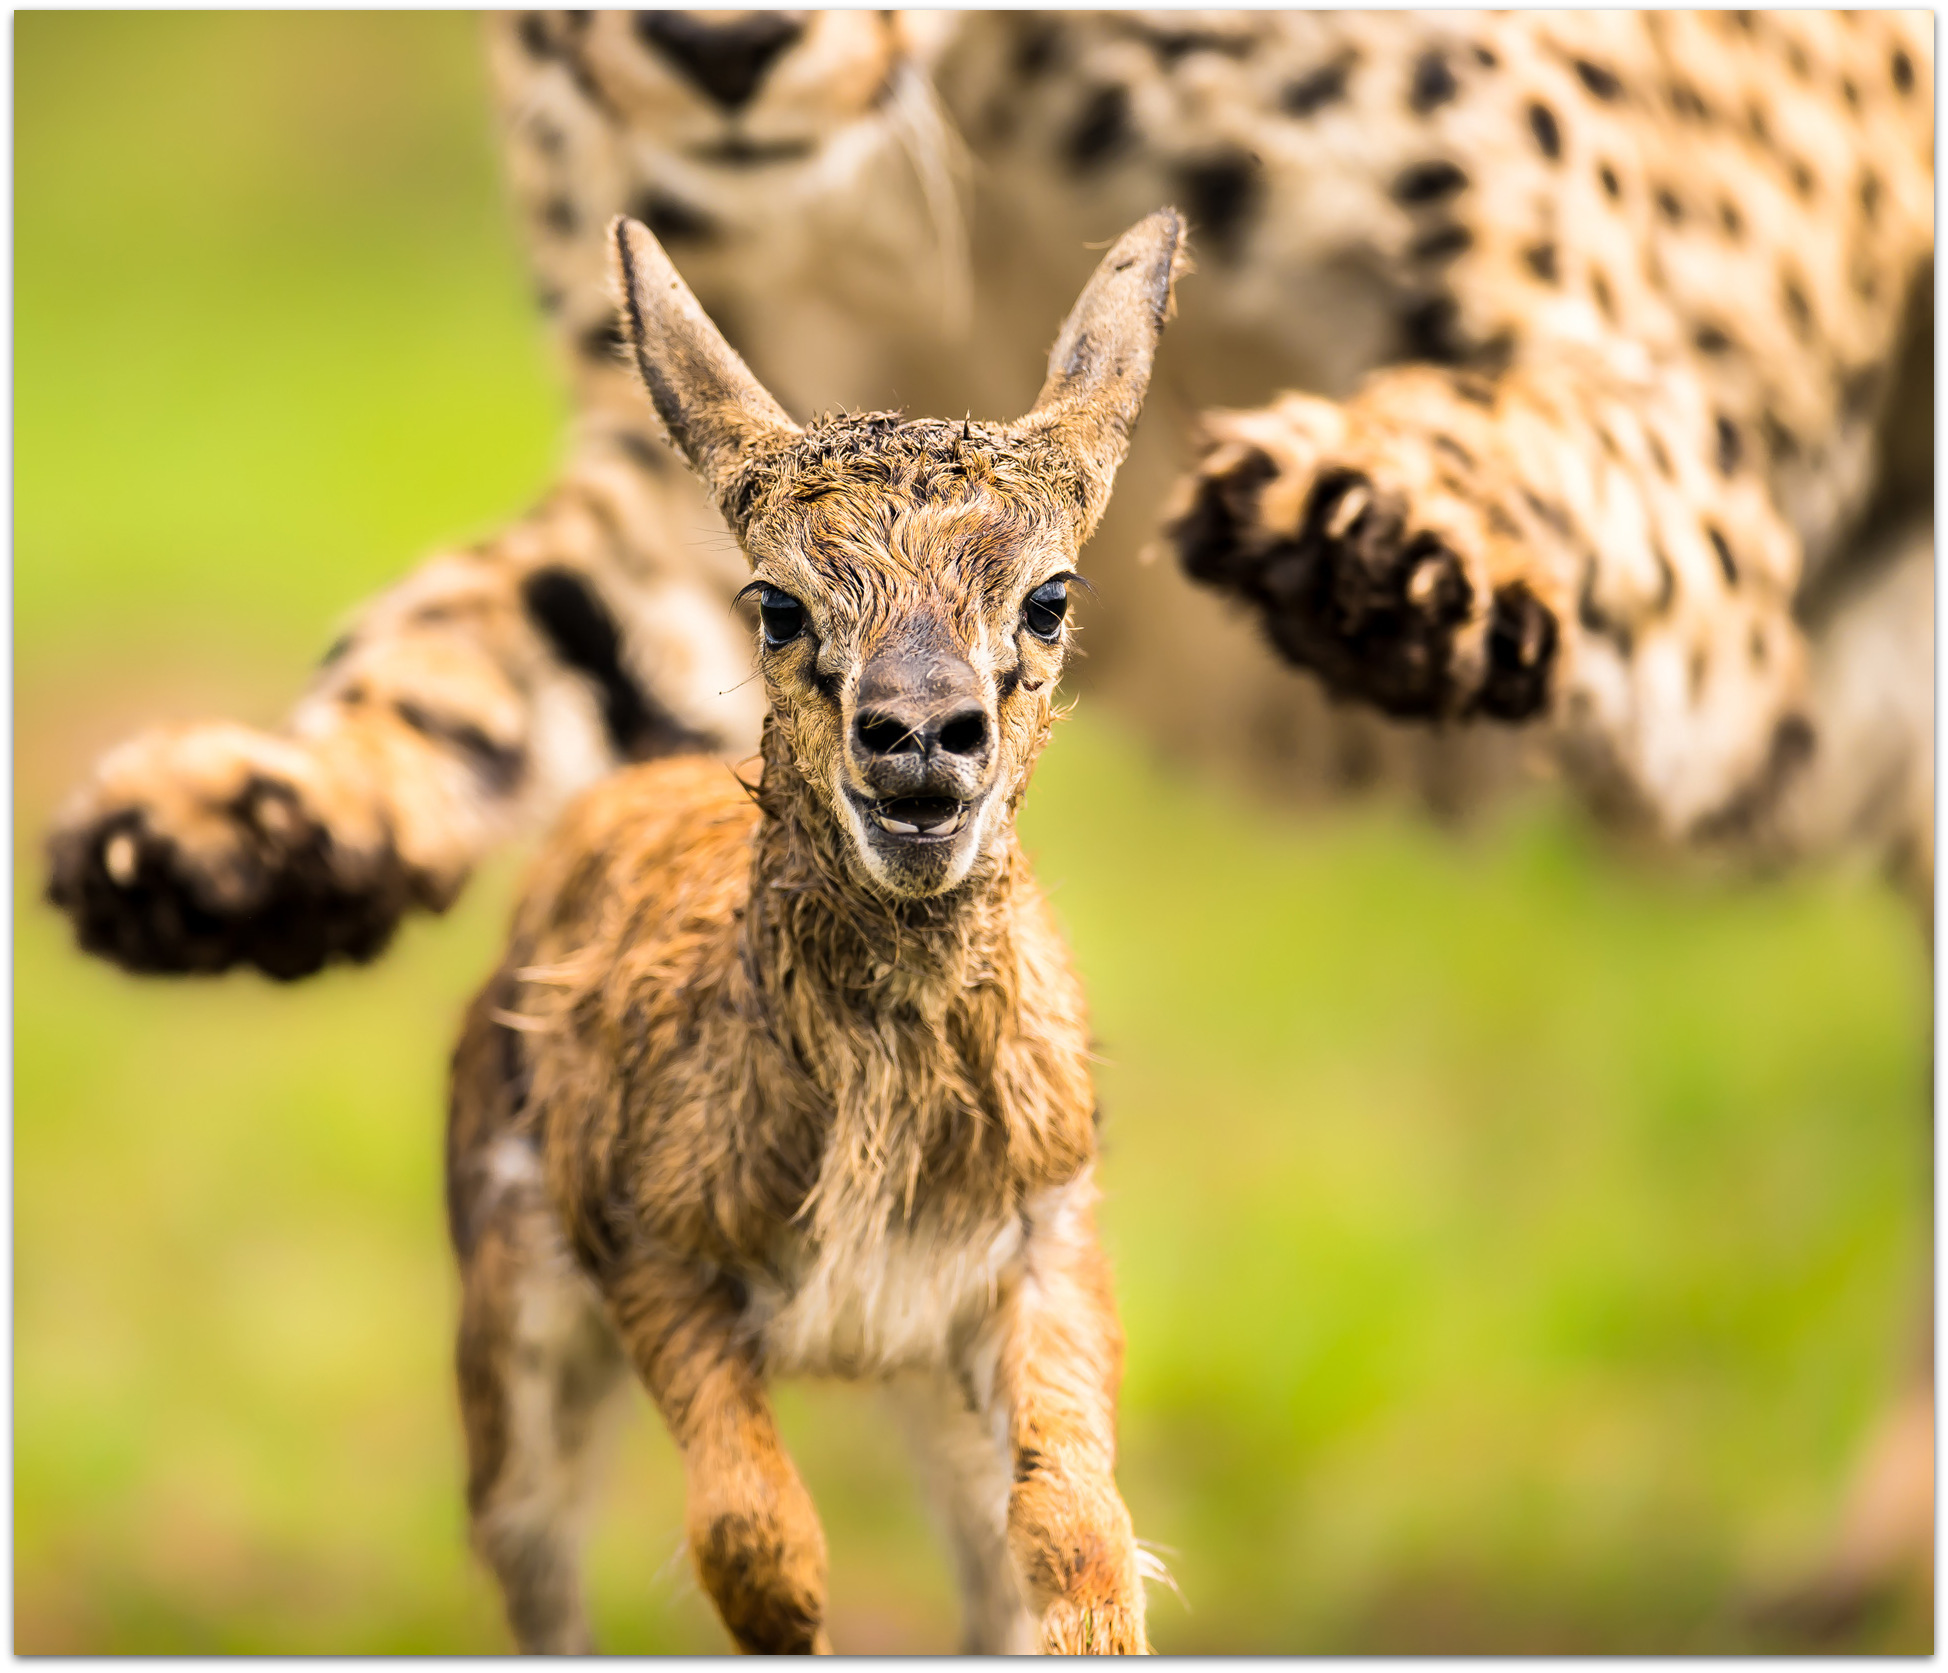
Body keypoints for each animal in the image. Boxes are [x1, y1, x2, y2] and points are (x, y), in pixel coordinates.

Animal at [41, 9, 1932, 1635]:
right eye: (775, 608)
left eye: (1050, 600)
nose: (717, 45)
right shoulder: (694, 490)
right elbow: (473, 637)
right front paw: (232, 828)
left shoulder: (1706, 465)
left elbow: (1567, 428)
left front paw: (1373, 528)